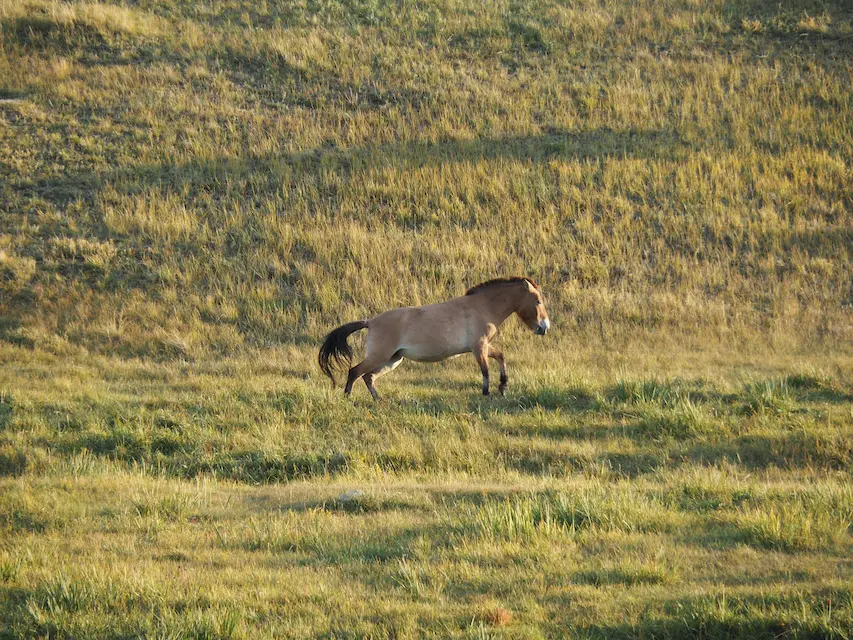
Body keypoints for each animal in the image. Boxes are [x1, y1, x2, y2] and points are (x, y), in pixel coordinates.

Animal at [318, 277, 550, 399]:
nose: (544, 327)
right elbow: (485, 370)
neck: (482, 306)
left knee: (368, 377)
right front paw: (487, 393)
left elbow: (501, 357)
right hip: (380, 357)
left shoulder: (483, 346)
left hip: (392, 360)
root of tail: (371, 321)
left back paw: (379, 400)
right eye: (538, 301)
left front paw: (502, 386)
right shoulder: (479, 347)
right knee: (355, 372)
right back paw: (348, 398)